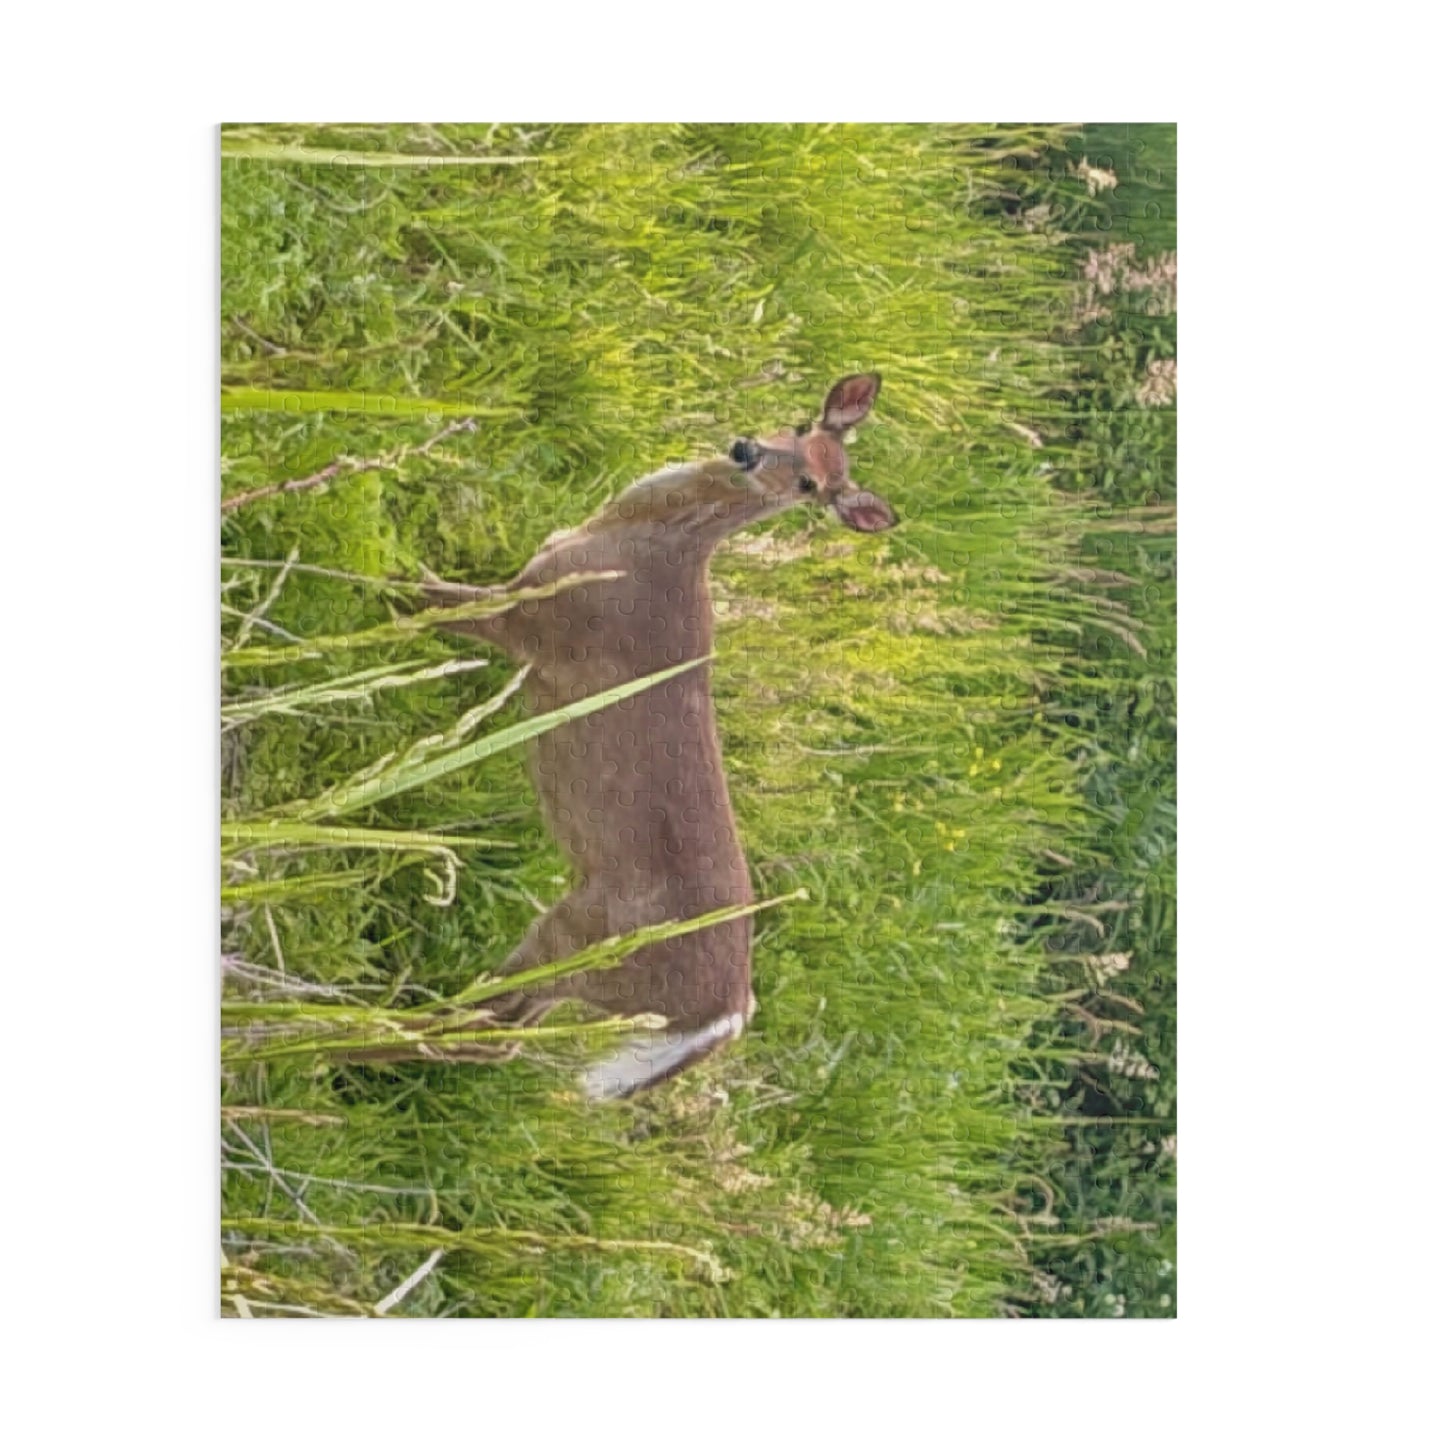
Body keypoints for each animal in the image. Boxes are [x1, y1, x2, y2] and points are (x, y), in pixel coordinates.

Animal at [418, 374, 896, 1099]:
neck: (641, 545)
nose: (747, 450)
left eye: (812, 486)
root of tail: (722, 1016)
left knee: (489, 1025)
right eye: (798, 425)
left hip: (587, 940)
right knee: (506, 1030)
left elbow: (425, 598)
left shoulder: (533, 618)